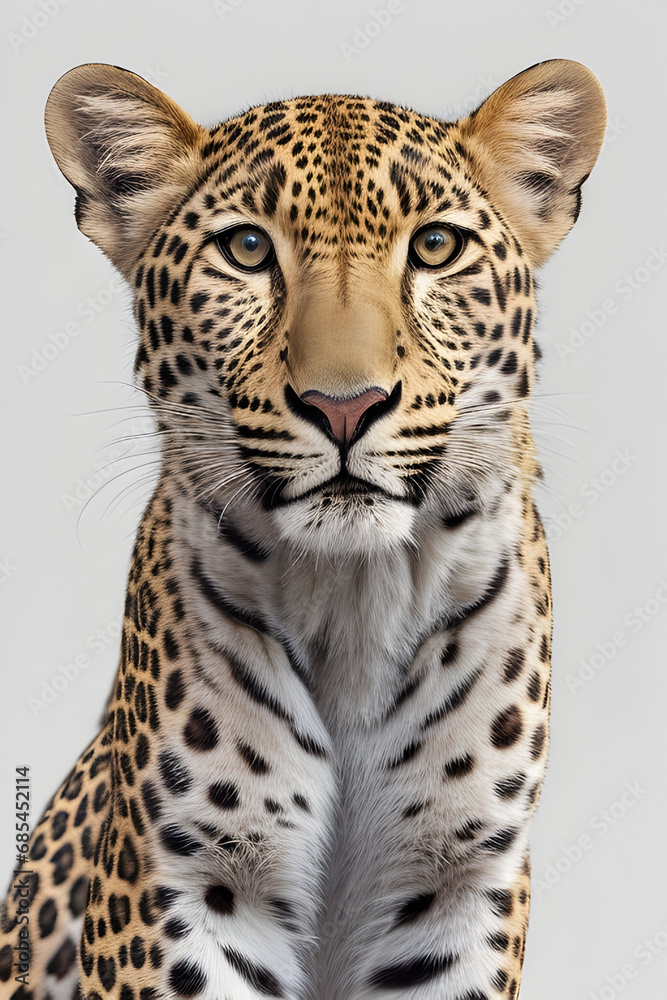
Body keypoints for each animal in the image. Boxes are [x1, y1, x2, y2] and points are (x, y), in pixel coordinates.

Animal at [0, 59, 606, 1000]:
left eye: (435, 248)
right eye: (247, 250)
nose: (344, 404)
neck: (352, 602)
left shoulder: (460, 881)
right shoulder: (188, 882)